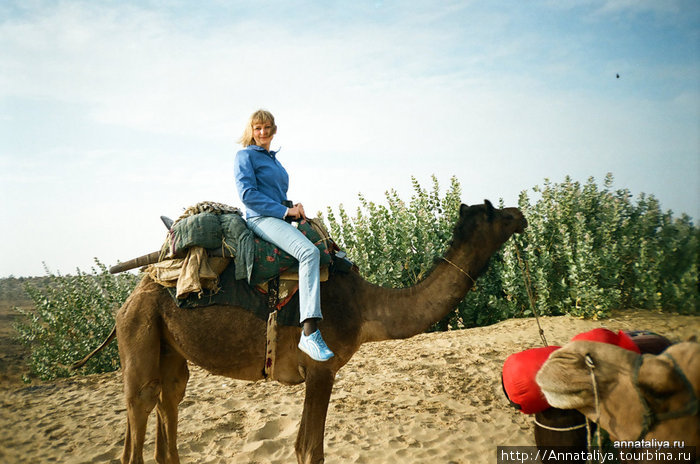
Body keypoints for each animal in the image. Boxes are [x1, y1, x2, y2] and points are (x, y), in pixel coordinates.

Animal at [76, 201, 524, 462]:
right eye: (495, 211)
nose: (521, 214)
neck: (365, 306)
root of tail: (136, 291)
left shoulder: (317, 375)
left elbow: (303, 448)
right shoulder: (322, 370)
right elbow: (310, 450)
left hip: (170, 347)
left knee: (169, 396)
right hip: (138, 332)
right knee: (139, 405)